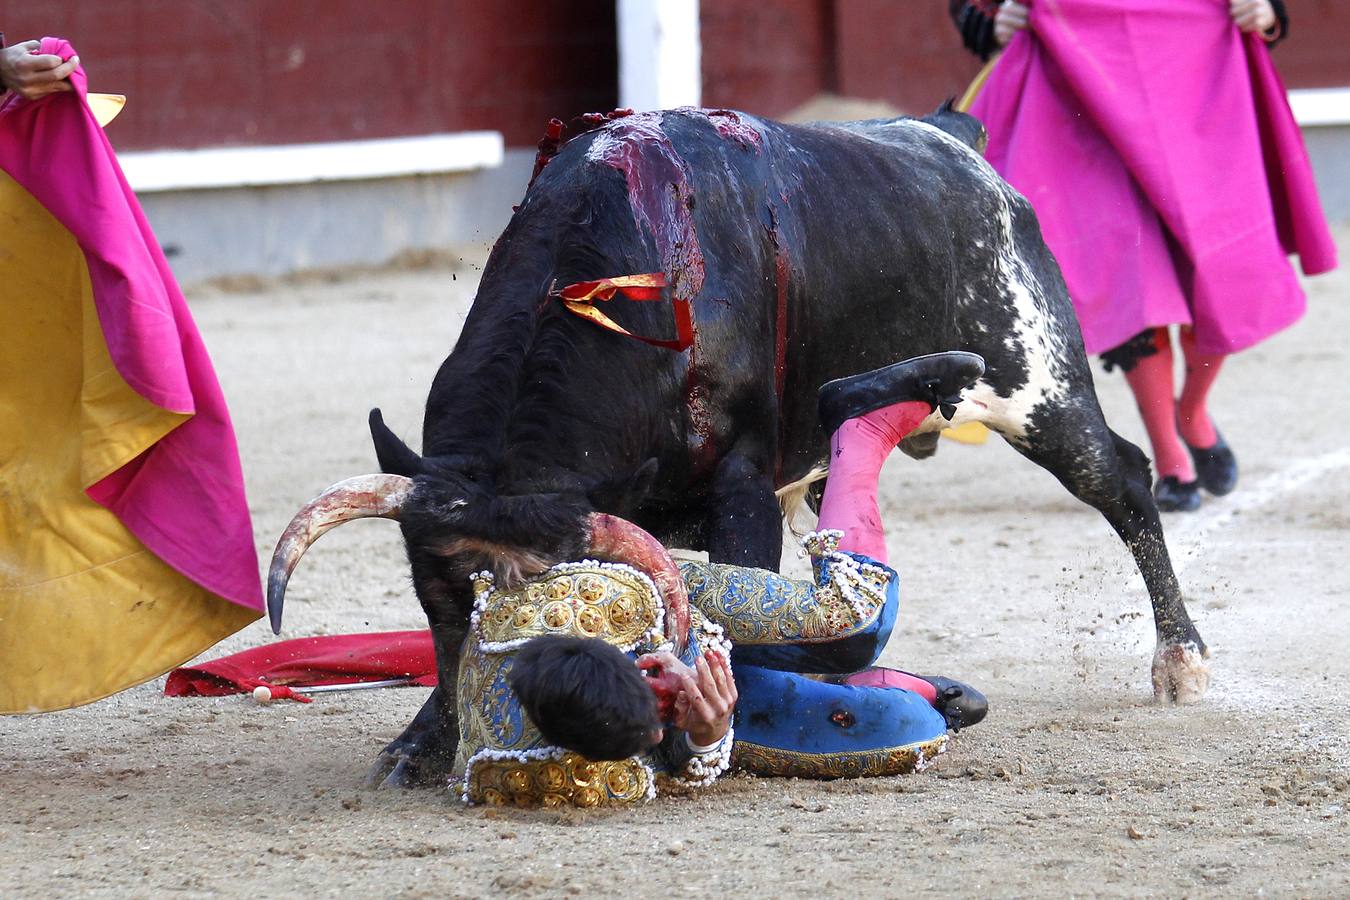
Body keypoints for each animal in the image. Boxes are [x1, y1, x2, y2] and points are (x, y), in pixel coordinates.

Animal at [265, 105, 1215, 782]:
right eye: (439, 600)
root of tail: (951, 137)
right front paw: (419, 743)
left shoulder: (742, 483)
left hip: (1040, 388)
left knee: (1124, 480)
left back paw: (1183, 662)